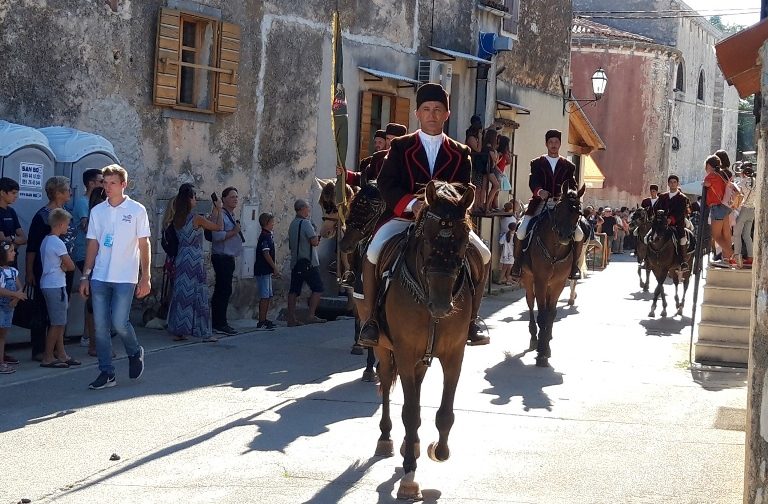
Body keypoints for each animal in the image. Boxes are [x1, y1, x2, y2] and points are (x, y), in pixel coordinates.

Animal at [368, 180, 480, 500]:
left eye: (463, 242)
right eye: (427, 241)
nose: (441, 306)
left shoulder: (454, 355)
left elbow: (445, 413)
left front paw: (437, 450)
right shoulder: (405, 352)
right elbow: (410, 411)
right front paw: (409, 476)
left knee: (415, 388)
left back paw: (414, 443)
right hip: (384, 349)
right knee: (386, 383)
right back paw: (387, 438)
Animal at [520, 184, 584, 366]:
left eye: (579, 212)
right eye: (559, 209)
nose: (565, 236)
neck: (555, 247)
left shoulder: (558, 283)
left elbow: (551, 314)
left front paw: (547, 346)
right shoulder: (540, 280)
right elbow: (542, 315)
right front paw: (541, 350)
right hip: (528, 278)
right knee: (530, 302)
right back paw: (534, 337)